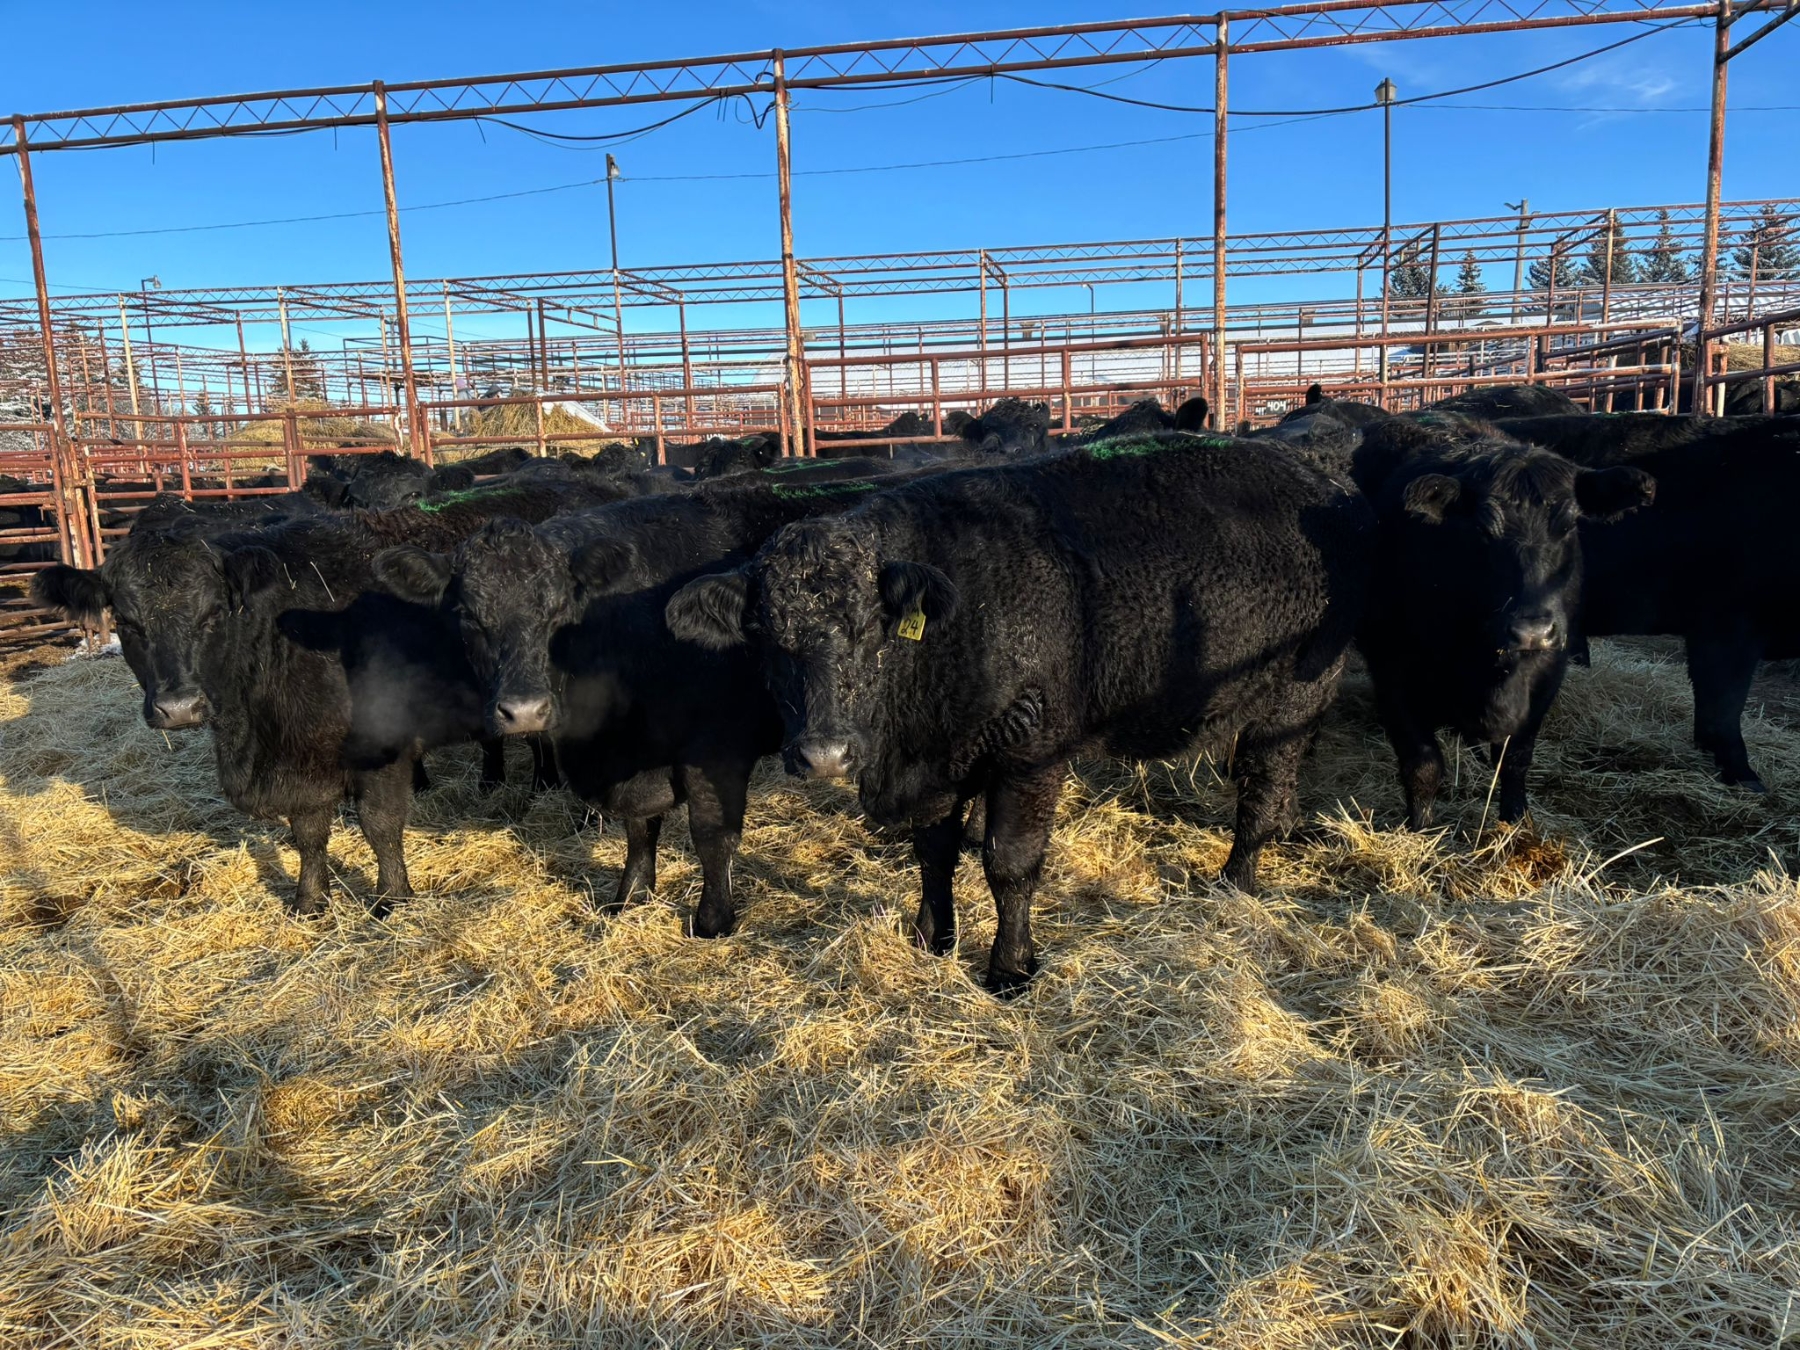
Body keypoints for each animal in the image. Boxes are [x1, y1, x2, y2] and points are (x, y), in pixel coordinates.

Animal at [30, 480, 610, 914]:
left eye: (214, 612)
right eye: (127, 622)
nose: (178, 708)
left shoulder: (381, 750)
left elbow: (379, 825)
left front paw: (392, 898)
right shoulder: (301, 760)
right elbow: (308, 832)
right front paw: (310, 899)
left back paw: (542, 783)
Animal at [369, 473, 917, 937]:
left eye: (561, 611)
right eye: (466, 615)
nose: (523, 711)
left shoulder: (716, 746)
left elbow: (712, 835)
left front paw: (712, 920)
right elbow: (638, 828)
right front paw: (630, 894)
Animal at [666, 431, 1372, 992]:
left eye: (872, 630)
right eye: (767, 637)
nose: (824, 754)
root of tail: (1320, 479)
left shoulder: (1032, 750)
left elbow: (1009, 862)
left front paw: (1010, 968)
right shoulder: (940, 765)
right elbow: (934, 850)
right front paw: (932, 935)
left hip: (1296, 694)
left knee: (1262, 786)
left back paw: (1237, 880)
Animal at [1350, 417, 1655, 827]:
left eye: (1569, 525)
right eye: (1481, 530)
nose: (1533, 631)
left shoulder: (1549, 672)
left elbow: (1515, 759)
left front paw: (1517, 822)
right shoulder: (1391, 668)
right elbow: (1423, 763)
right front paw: (1420, 829)